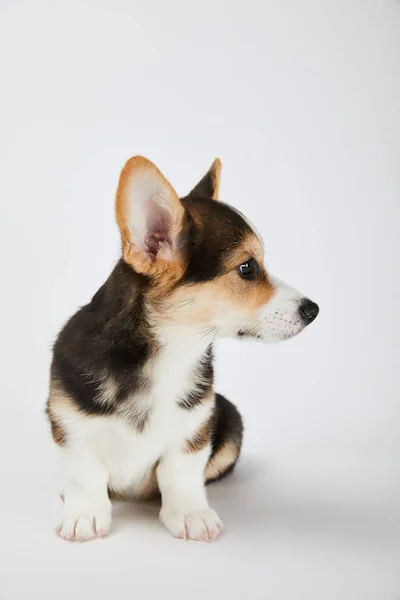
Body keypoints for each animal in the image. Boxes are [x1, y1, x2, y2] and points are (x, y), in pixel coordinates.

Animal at [47, 157, 318, 540]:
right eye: (247, 268)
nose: (314, 310)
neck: (169, 352)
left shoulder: (194, 427)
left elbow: (180, 473)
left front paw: (191, 514)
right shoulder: (70, 422)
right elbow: (85, 473)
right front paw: (83, 514)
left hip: (230, 420)